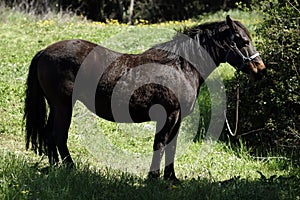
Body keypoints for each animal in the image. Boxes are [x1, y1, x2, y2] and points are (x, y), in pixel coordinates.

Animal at [24, 15, 266, 181]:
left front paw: (171, 178)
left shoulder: (177, 118)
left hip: (56, 107)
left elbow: (171, 146)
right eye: (243, 41)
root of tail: (44, 51)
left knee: (49, 136)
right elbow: (160, 144)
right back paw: (70, 168)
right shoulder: (169, 115)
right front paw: (153, 177)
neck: (180, 66)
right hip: (63, 107)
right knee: (58, 136)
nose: (260, 70)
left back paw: (56, 168)